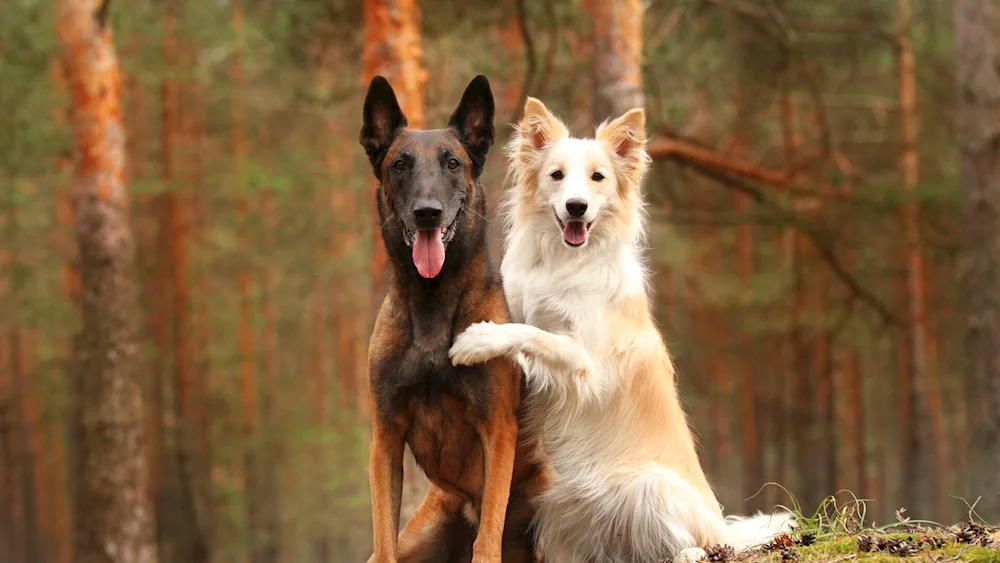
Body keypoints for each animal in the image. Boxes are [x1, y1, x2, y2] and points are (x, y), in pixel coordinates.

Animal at [360, 76, 548, 563]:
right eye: (400, 164)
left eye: (452, 163)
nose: (428, 212)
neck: (431, 301)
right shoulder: (385, 438)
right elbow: (382, 539)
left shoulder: (497, 429)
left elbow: (488, 540)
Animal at [450, 99, 792, 560]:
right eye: (556, 175)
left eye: (598, 177)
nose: (576, 207)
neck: (564, 261)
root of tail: (723, 527)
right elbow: (522, 321)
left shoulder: (585, 362)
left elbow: (533, 333)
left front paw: (478, 340)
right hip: (560, 509)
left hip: (651, 488)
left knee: (697, 546)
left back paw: (689, 552)